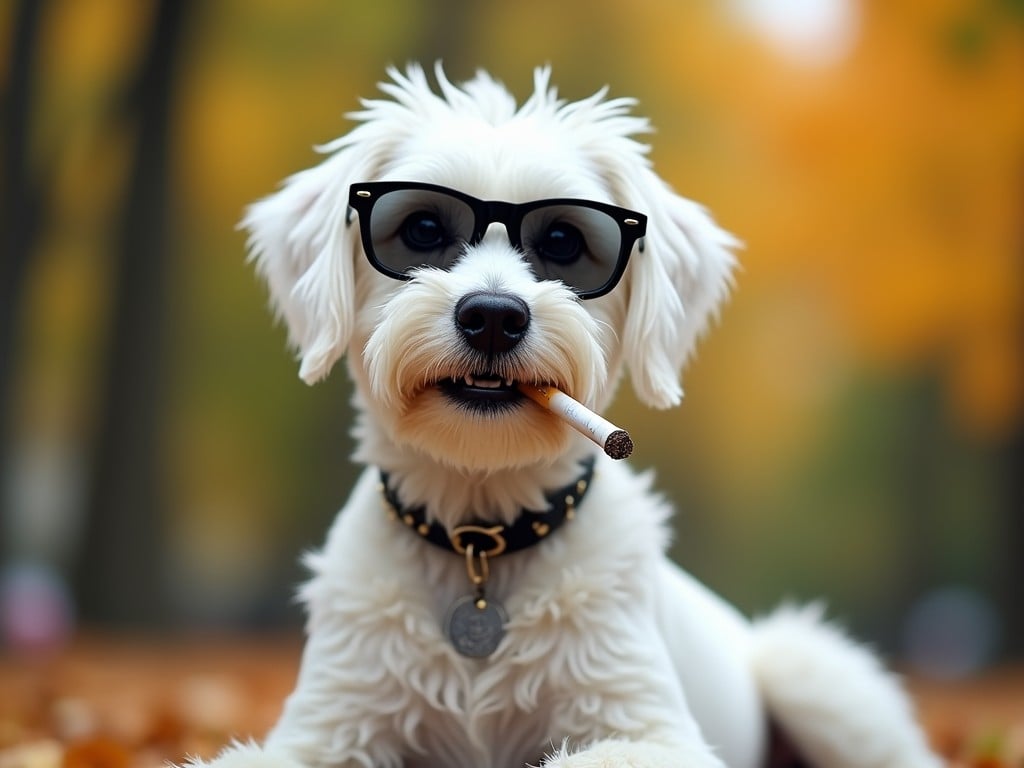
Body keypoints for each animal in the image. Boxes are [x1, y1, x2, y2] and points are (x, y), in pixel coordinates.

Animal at [199, 64, 942, 768]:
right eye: (423, 230)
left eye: (561, 239)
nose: (492, 316)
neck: (479, 539)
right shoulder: (325, 724)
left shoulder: (650, 729)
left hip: (816, 674)